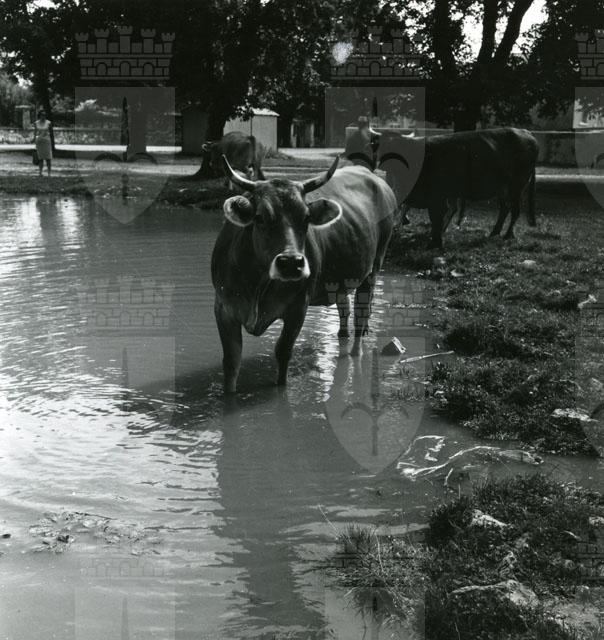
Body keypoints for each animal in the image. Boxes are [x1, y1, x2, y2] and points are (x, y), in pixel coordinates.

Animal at [211, 156, 396, 393]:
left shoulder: (298, 307)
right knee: (344, 307)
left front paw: (281, 389)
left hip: (373, 267)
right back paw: (342, 335)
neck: (258, 283)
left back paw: (356, 351)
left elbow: (283, 352)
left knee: (361, 316)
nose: (291, 263)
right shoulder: (223, 308)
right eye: (260, 218)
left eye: (306, 218)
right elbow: (231, 361)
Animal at [374, 128, 539, 249]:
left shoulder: (437, 196)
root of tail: (526, 132)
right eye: (381, 146)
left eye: (398, 148)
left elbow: (436, 216)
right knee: (504, 209)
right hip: (503, 188)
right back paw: (494, 232)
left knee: (514, 210)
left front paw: (435, 243)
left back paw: (507, 235)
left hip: (517, 185)